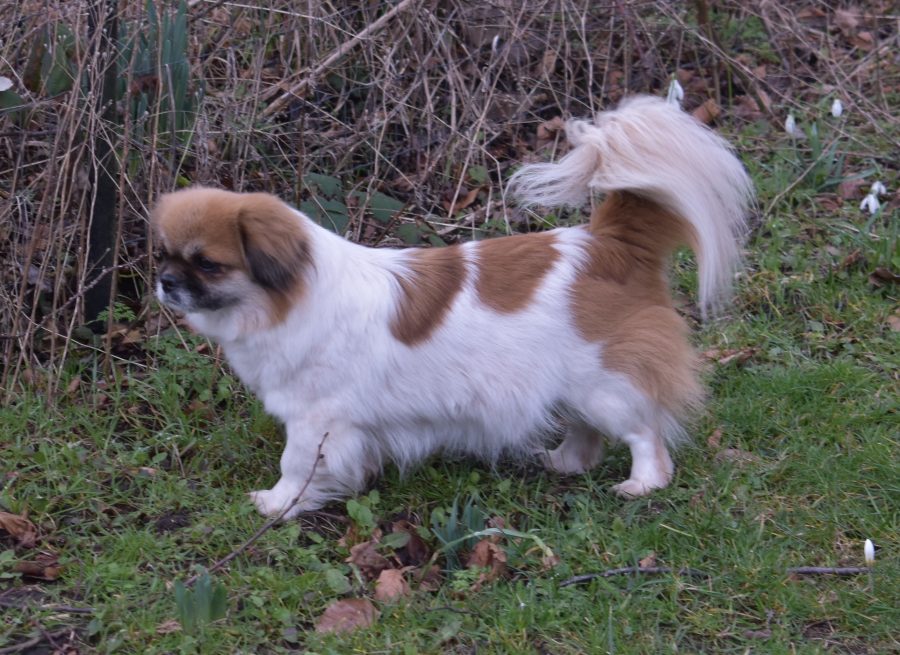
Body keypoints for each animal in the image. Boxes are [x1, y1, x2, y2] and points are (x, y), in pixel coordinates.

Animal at [153, 95, 752, 519]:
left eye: (207, 264)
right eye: (161, 253)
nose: (165, 282)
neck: (289, 297)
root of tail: (608, 245)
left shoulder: (314, 420)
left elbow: (296, 465)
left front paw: (279, 505)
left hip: (604, 385)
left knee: (644, 433)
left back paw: (643, 483)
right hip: (576, 387)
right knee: (586, 437)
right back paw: (562, 463)